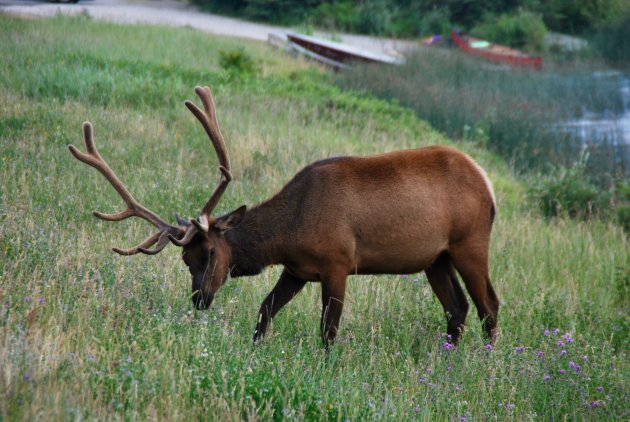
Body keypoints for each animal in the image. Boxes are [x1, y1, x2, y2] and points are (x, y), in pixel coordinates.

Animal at [69, 85, 502, 346]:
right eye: (185, 259)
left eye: (210, 253)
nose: (200, 300)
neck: (289, 233)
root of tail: (488, 183)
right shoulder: (297, 269)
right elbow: (264, 310)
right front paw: (254, 349)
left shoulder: (338, 263)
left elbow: (328, 330)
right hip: (435, 257)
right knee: (457, 308)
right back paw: (448, 357)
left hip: (470, 242)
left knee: (489, 305)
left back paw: (485, 363)